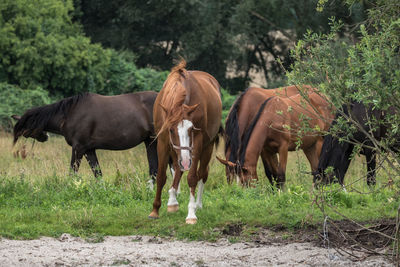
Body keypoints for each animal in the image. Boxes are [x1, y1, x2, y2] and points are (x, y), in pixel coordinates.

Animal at [148, 60, 222, 224]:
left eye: (191, 129)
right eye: (171, 130)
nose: (187, 161)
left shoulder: (197, 142)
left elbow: (192, 177)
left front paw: (191, 214)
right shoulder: (163, 141)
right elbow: (161, 176)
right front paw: (155, 210)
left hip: (207, 146)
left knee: (202, 173)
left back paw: (198, 204)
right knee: (178, 168)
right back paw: (172, 201)